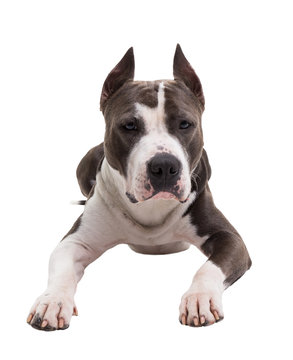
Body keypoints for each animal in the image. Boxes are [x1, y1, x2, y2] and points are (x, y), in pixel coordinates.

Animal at [26, 43, 251, 330]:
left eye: (185, 124)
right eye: (129, 125)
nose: (164, 166)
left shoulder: (228, 238)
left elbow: (209, 268)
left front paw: (199, 298)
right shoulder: (76, 241)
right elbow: (62, 269)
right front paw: (52, 301)